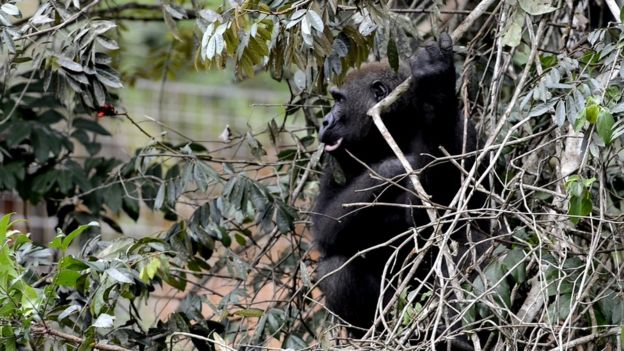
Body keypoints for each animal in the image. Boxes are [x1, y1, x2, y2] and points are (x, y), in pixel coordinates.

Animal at [312, 34, 492, 348]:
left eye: (339, 100)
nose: (324, 121)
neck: (397, 129)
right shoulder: (333, 163)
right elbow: (325, 223)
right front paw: (397, 165)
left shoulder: (465, 131)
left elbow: (454, 217)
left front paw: (434, 85)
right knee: (334, 269)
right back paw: (376, 334)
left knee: (469, 244)